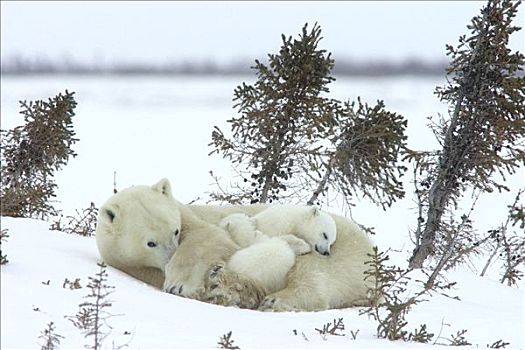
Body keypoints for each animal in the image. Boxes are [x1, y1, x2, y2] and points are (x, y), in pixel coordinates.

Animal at [96, 179, 376, 310]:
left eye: (175, 231)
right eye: (150, 243)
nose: (168, 260)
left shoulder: (193, 218)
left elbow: (209, 239)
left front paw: (180, 283)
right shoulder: (131, 265)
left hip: (341, 253)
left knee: (310, 273)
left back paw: (271, 299)